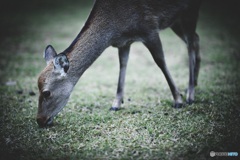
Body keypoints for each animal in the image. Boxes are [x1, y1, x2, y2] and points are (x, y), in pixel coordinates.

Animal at [37, 0, 202, 127]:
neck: (116, 26)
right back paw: (195, 83)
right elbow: (123, 65)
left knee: (190, 42)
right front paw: (116, 104)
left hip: (190, 11)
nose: (39, 120)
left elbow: (160, 61)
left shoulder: (150, 29)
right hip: (176, 21)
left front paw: (178, 100)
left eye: (46, 92)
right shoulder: (124, 42)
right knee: (195, 38)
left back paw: (190, 94)